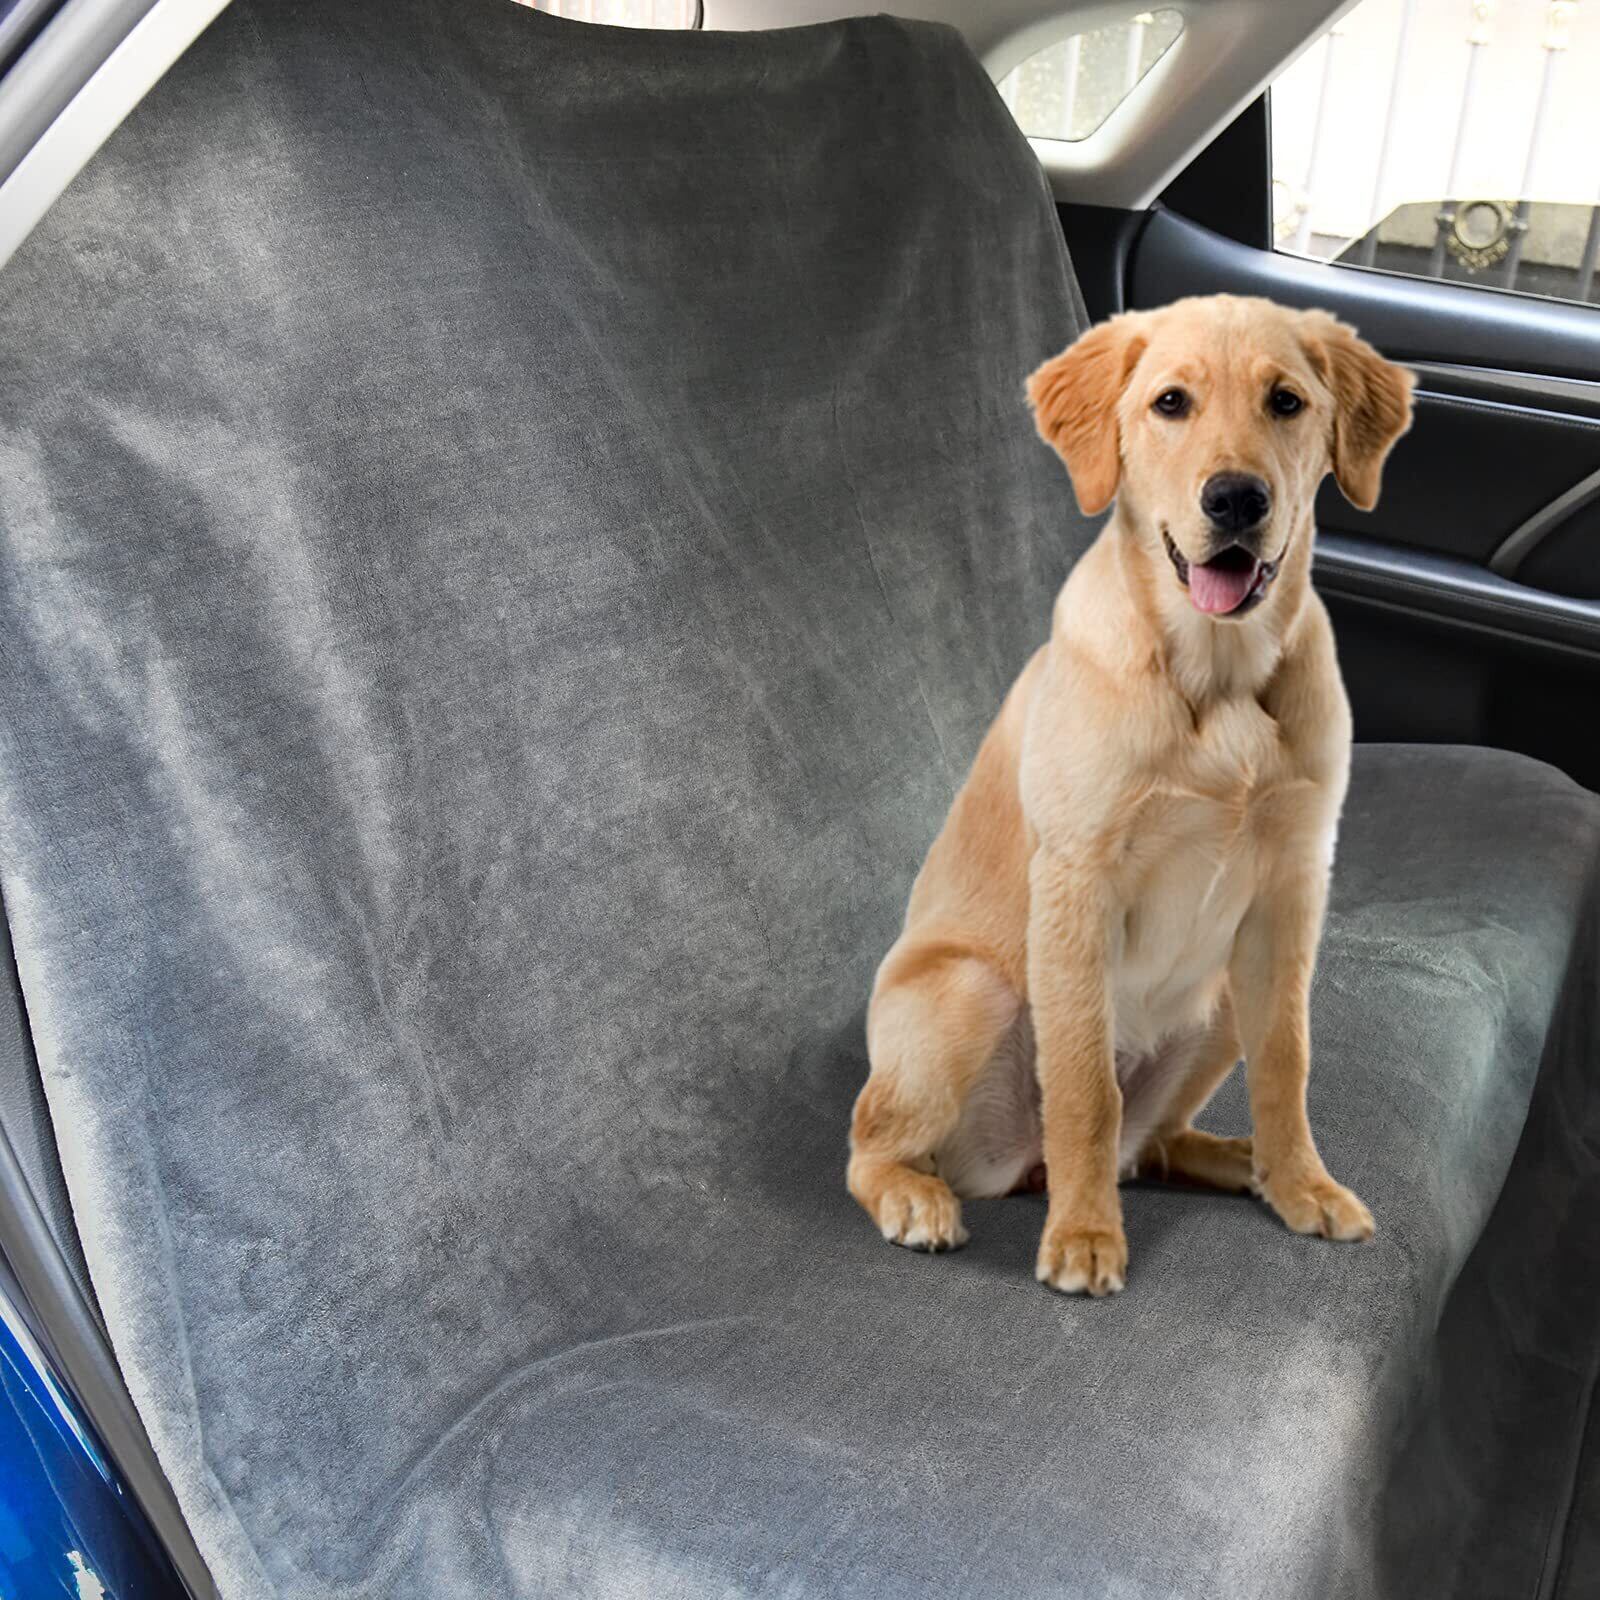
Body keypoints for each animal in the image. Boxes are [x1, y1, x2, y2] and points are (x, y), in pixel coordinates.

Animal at [846, 294, 1413, 1296]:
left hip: (1221, 995)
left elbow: (1288, 1057)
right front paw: (1083, 1236)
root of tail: (1014, 1168)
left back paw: (1241, 1162)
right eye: (1171, 403)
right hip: (967, 992)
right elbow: (1084, 1086)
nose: (1237, 500)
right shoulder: (1079, 879)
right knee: (872, 1140)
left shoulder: (1292, 888)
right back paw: (919, 1197)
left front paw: (1302, 1182)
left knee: (1149, 1144)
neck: (1218, 680)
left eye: (1287, 401)